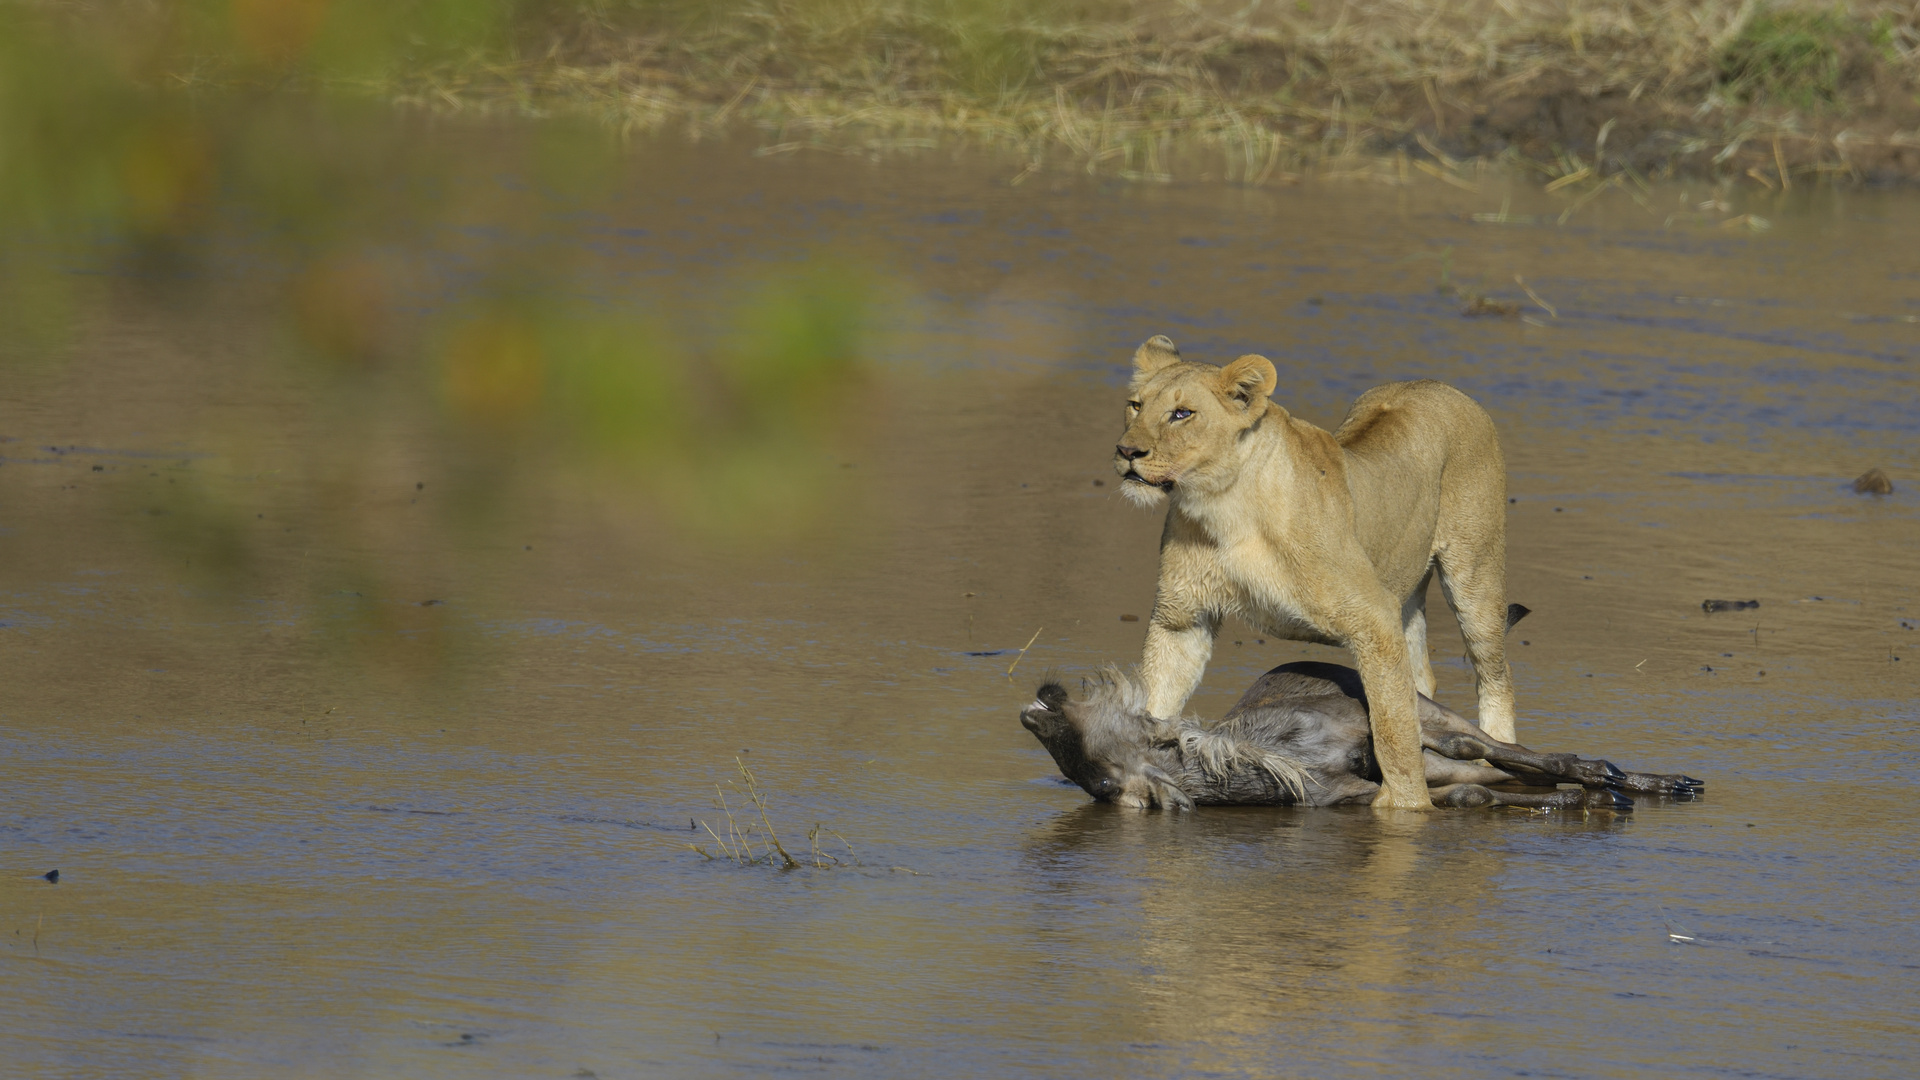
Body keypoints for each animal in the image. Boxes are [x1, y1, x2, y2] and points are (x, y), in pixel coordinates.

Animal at [1113, 334, 1512, 807]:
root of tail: (1438, 384)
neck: (1225, 505)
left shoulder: (1374, 618)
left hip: (1475, 574)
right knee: (1421, 676)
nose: (1126, 451)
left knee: (1495, 675)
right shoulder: (1182, 618)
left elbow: (1394, 728)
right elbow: (1156, 696)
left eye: (1182, 413)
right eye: (1136, 405)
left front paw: (1404, 805)